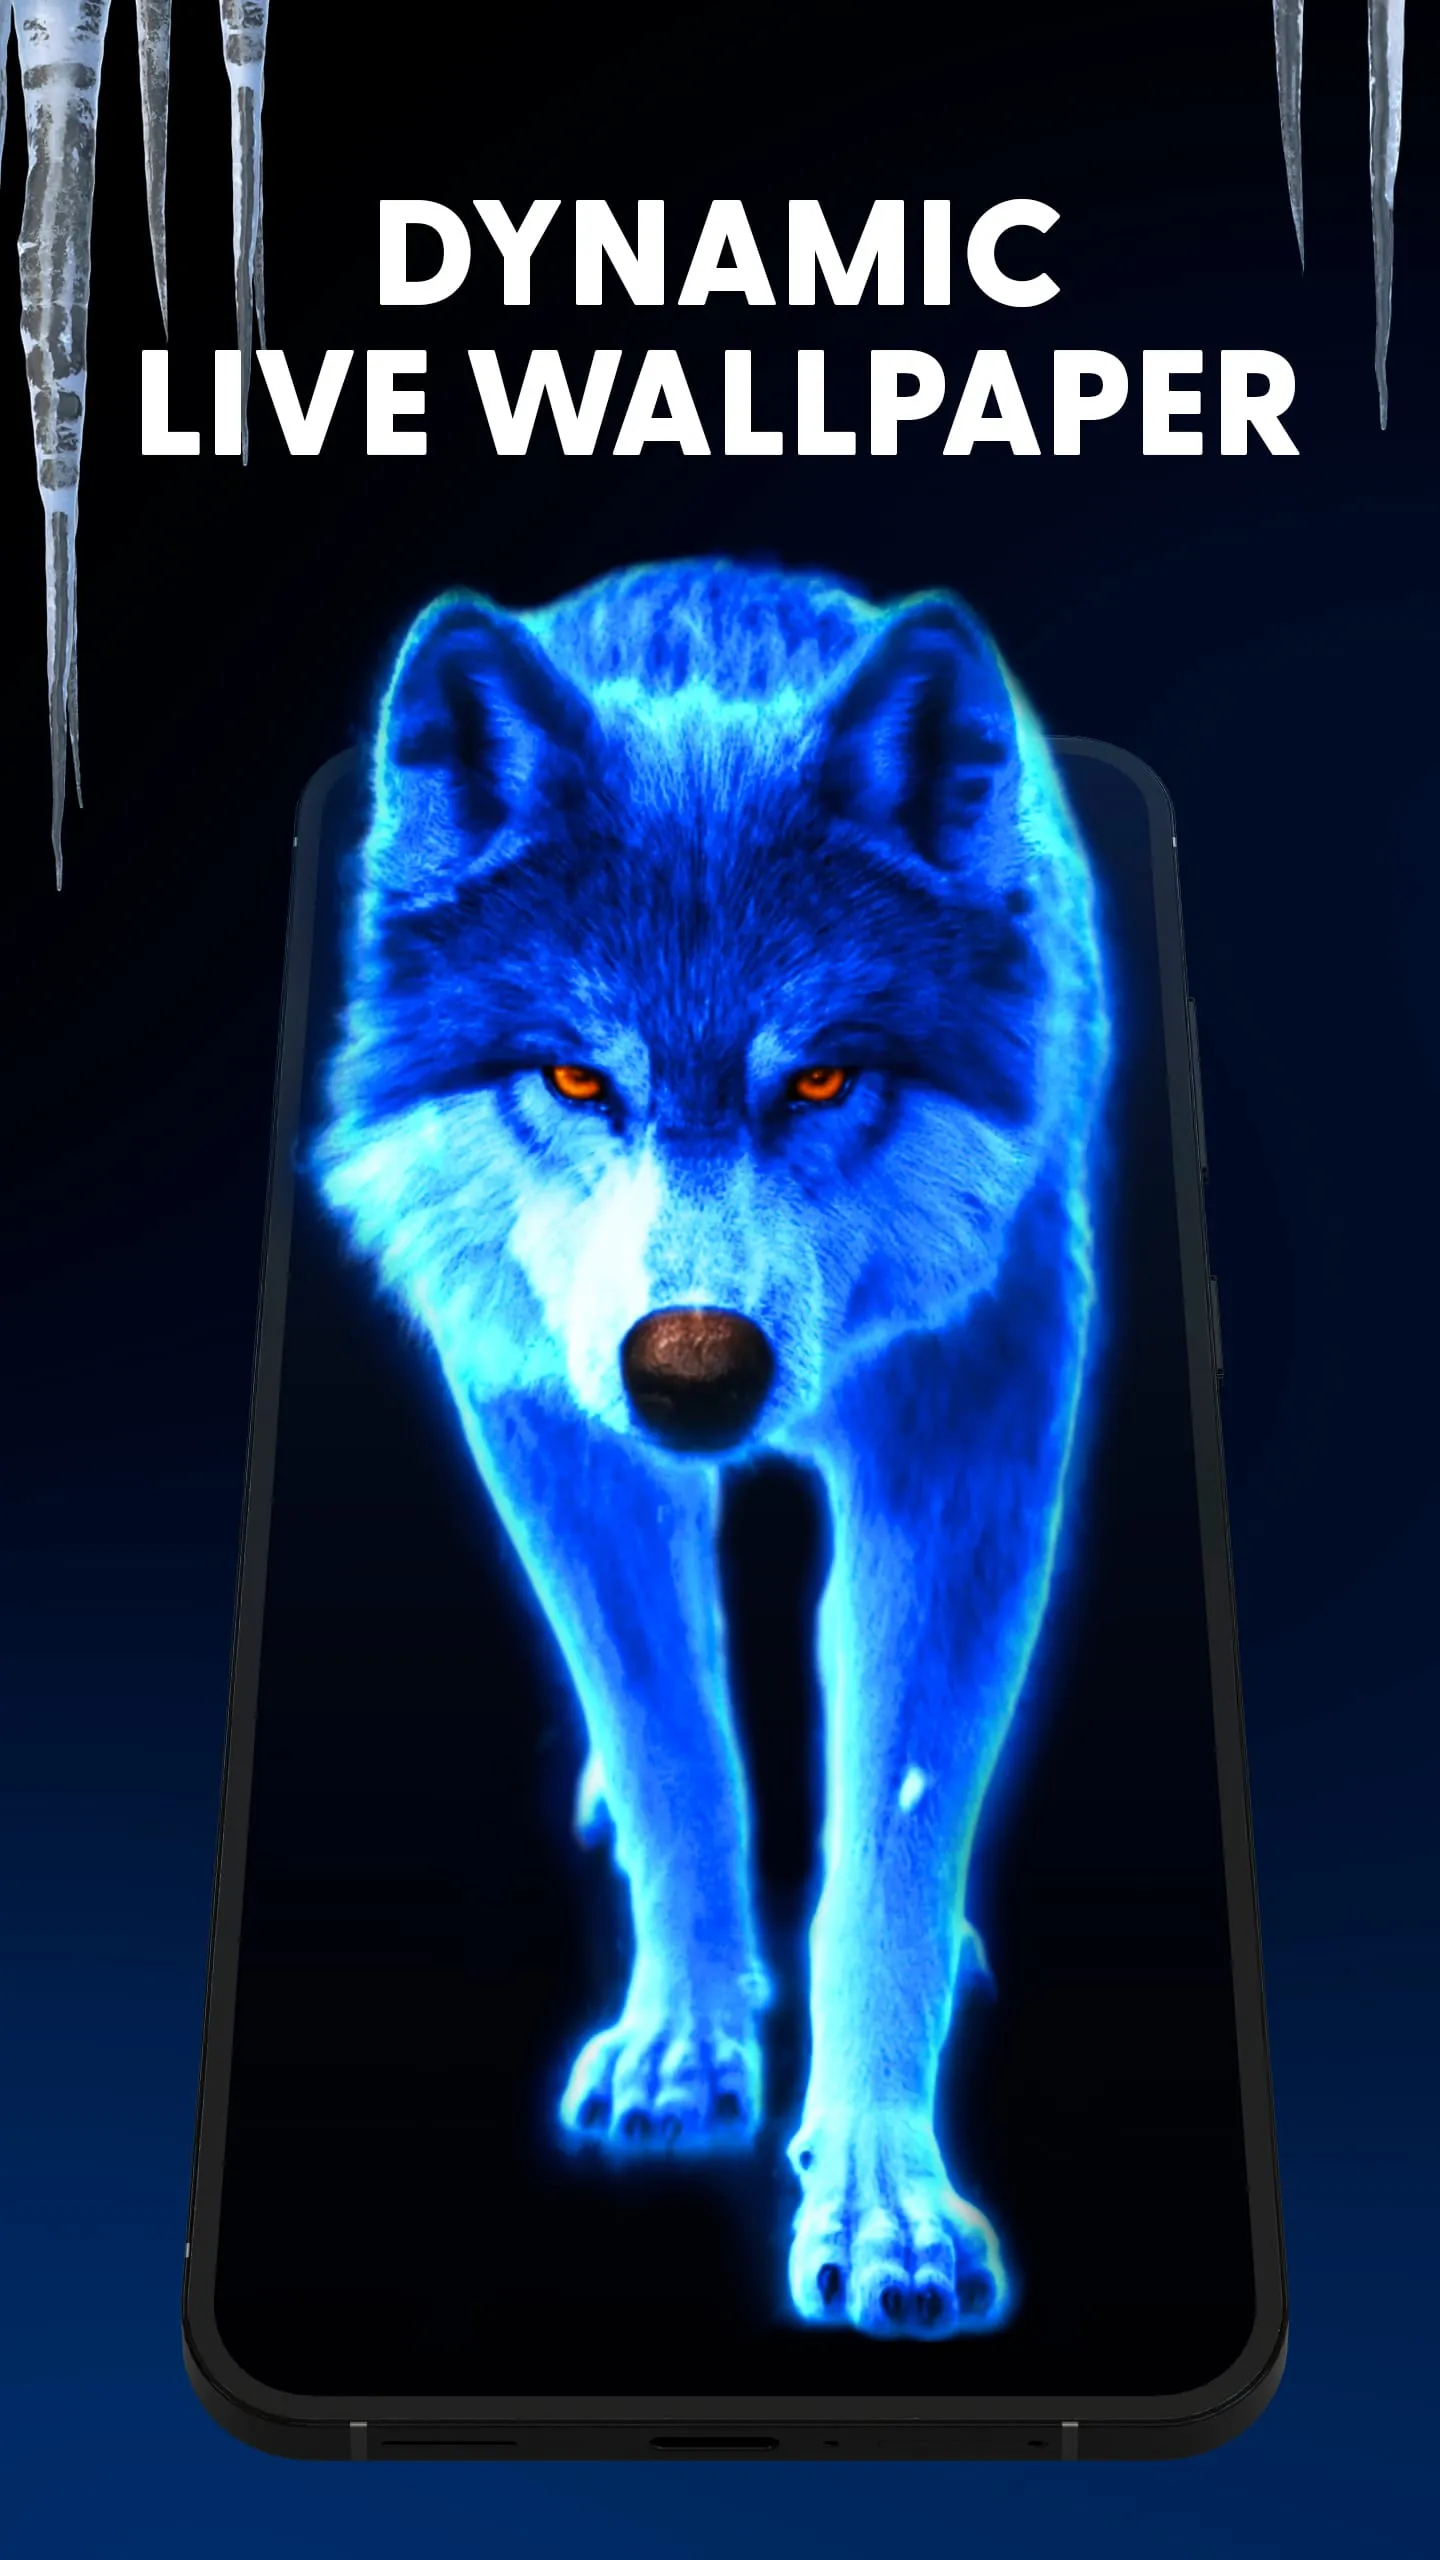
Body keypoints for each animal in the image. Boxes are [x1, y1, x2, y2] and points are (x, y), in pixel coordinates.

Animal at [315, 559, 1109, 2339]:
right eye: (573, 1075)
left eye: (820, 1077)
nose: (692, 1368)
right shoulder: (552, 1426)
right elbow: (677, 1745)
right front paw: (683, 2043)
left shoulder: (968, 1443)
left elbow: (891, 1836)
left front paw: (884, 2205)